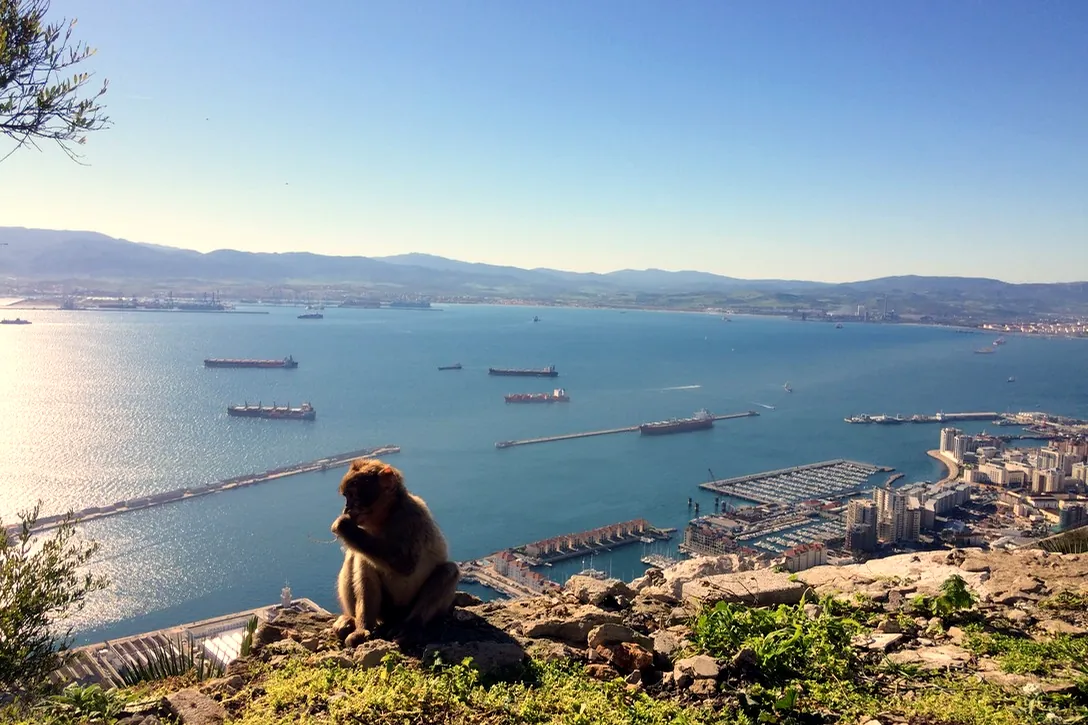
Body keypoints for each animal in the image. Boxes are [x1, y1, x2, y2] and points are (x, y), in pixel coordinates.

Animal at [330, 458, 460, 647]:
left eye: (353, 495)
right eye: (346, 496)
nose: (346, 509)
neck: (386, 517)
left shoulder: (410, 517)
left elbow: (405, 564)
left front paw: (343, 525)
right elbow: (363, 564)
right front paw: (362, 628)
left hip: (409, 609)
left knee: (449, 571)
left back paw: (411, 627)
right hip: (385, 610)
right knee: (357, 559)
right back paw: (356, 623)